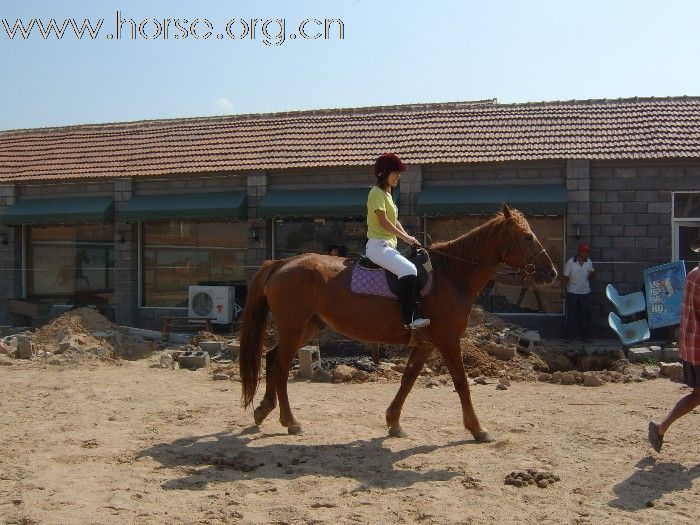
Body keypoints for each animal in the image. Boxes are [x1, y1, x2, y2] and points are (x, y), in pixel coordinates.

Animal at [241, 203, 556, 440]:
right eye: (527, 237)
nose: (550, 272)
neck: (451, 274)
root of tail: (281, 263)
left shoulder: (426, 343)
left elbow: (408, 380)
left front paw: (394, 422)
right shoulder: (448, 340)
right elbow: (461, 382)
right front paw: (478, 429)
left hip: (306, 327)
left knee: (272, 359)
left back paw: (263, 410)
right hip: (295, 328)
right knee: (280, 368)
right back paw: (290, 421)